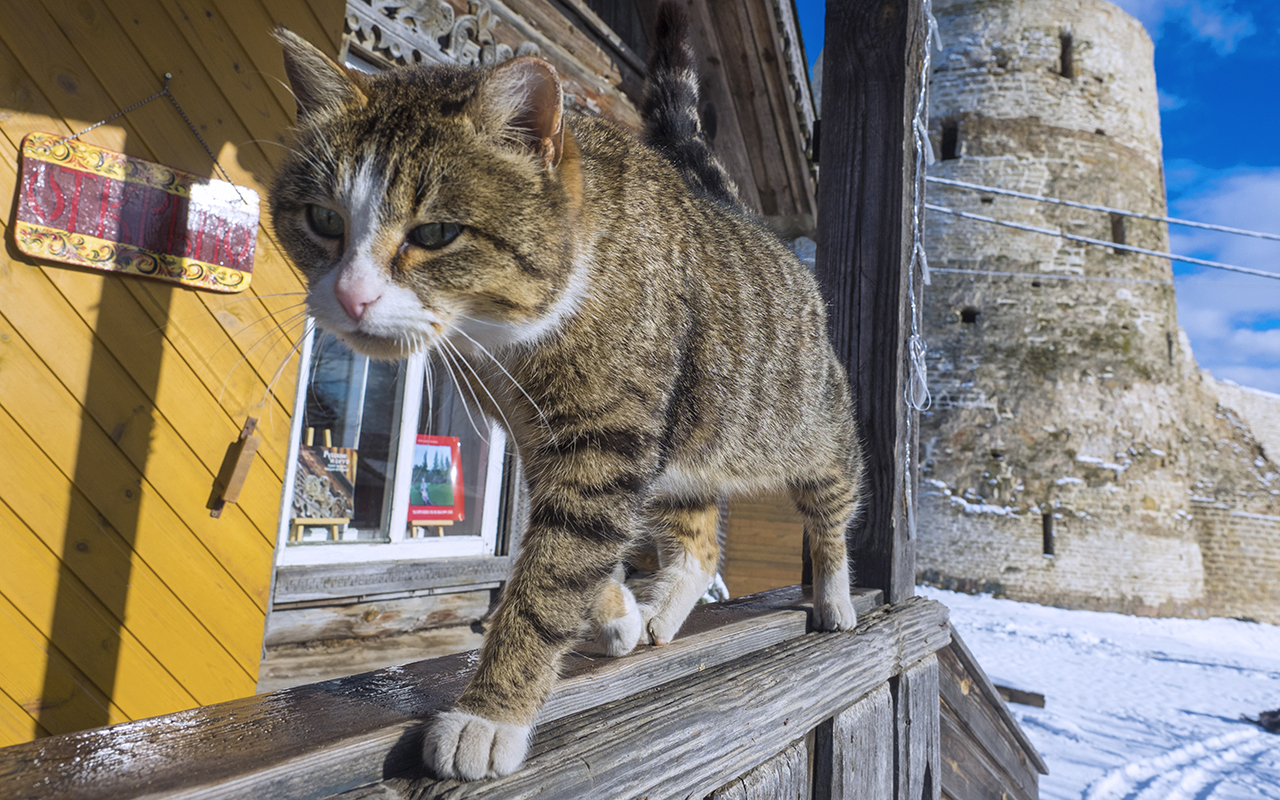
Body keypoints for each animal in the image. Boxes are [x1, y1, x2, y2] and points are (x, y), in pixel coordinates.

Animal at [272, 4, 860, 778]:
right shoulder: (546, 437)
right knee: (700, 540)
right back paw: (662, 611)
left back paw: (837, 599)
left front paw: (489, 716)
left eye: (436, 232)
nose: (349, 296)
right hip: (684, 446)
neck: (504, 341)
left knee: (833, 502)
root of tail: (753, 224)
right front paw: (617, 614)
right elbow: (571, 552)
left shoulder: (604, 442)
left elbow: (551, 576)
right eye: (324, 220)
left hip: (808, 422)